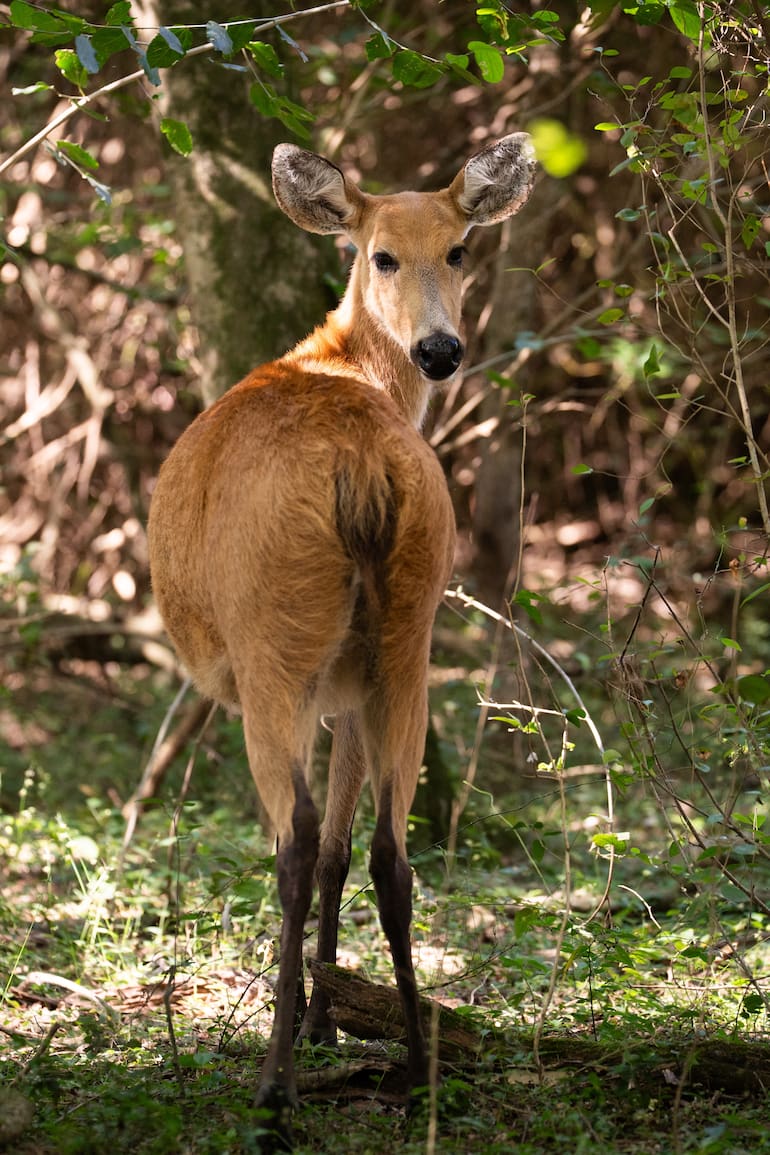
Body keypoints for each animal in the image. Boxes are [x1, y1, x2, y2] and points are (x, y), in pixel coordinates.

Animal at [147, 132, 536, 1147]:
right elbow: (345, 849)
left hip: (273, 640)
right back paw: (418, 1064)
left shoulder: (312, 682)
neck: (342, 363)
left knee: (290, 847)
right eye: (382, 254)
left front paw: (309, 1022)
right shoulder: (353, 684)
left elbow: (313, 846)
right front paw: (330, 1015)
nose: (440, 349)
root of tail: (362, 462)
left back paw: (274, 1083)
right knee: (392, 856)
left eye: (459, 250)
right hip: (408, 634)